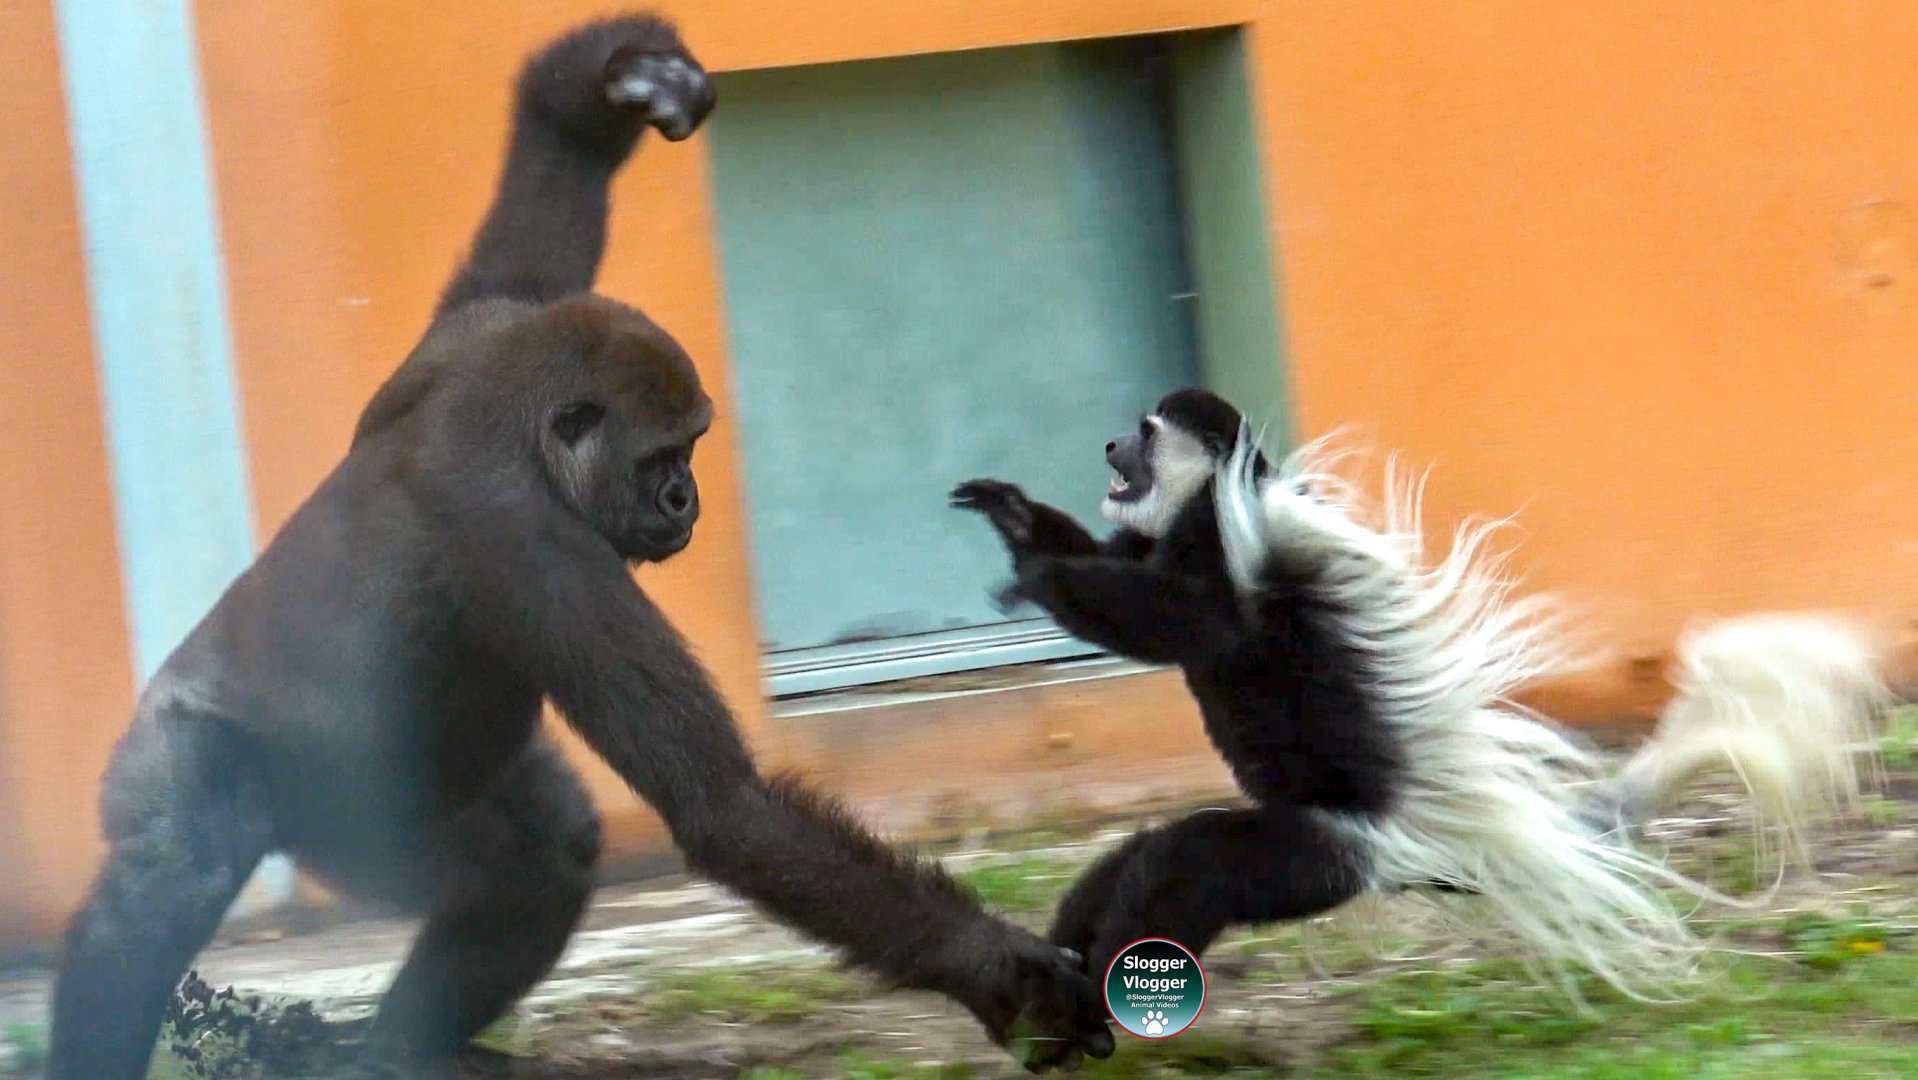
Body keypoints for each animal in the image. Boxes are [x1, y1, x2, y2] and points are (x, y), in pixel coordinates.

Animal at [45, 16, 1112, 1078]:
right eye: (663, 458)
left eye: (693, 449)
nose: (686, 499)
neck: (516, 428)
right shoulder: (527, 539)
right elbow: (726, 805)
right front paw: (998, 970)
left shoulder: (474, 331)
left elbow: (535, 218)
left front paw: (614, 85)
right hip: (202, 753)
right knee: (168, 874)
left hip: (375, 826)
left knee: (539, 854)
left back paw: (401, 1048)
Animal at [952, 388, 1714, 1002]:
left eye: (1144, 432)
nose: (1112, 445)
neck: (1216, 492)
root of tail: (1408, 839)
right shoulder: (1160, 539)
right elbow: (1115, 567)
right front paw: (1016, 520)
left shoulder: (1221, 539)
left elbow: (1186, 622)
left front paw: (1035, 571)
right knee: (1135, 860)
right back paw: (1060, 974)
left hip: (1313, 854)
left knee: (1186, 865)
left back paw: (1097, 989)